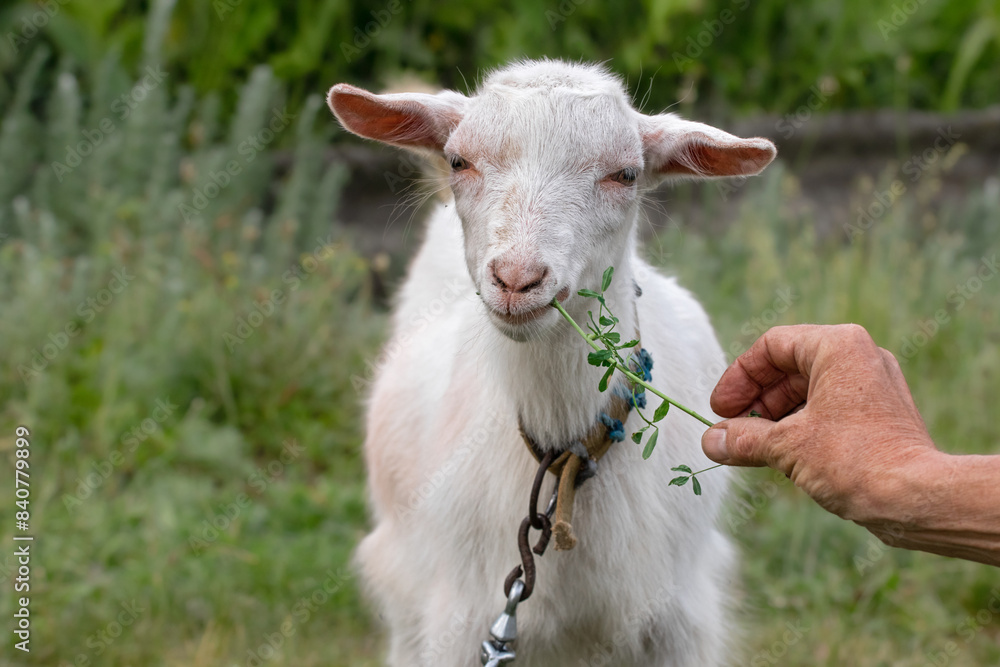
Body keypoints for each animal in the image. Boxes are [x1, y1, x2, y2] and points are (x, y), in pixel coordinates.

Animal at [328, 59, 776, 666]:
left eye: (626, 174)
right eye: (459, 160)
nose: (517, 279)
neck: (566, 460)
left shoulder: (681, 623)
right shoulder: (458, 615)